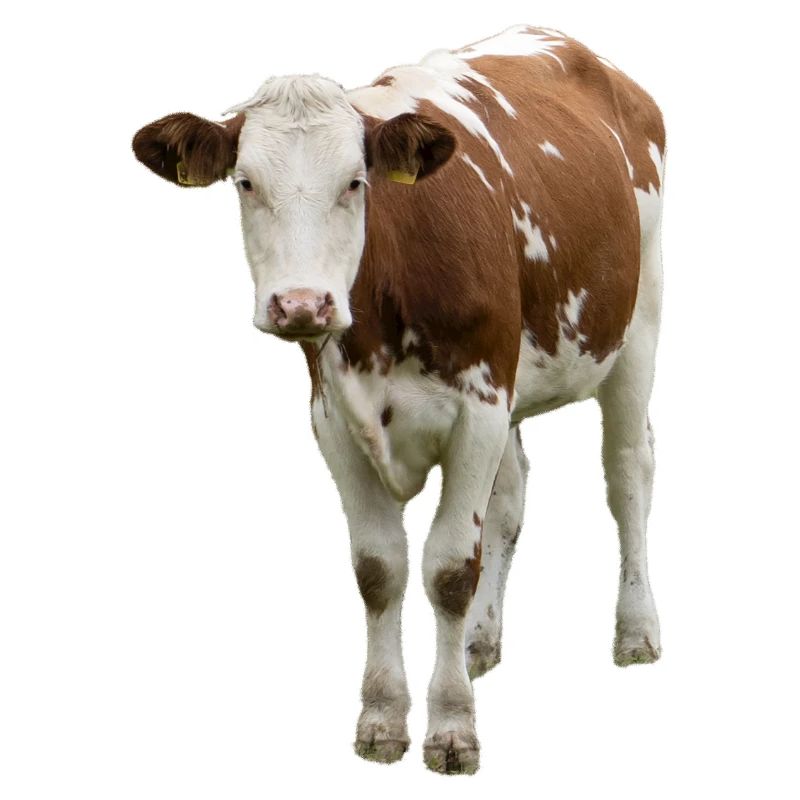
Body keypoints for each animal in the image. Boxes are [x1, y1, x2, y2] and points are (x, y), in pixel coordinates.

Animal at [132, 24, 665, 775]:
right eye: (245, 183)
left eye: (355, 183)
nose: (302, 304)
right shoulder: (333, 418)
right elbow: (379, 569)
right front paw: (383, 716)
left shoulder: (478, 407)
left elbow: (448, 568)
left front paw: (452, 729)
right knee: (511, 496)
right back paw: (479, 640)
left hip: (637, 325)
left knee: (628, 474)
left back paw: (637, 629)